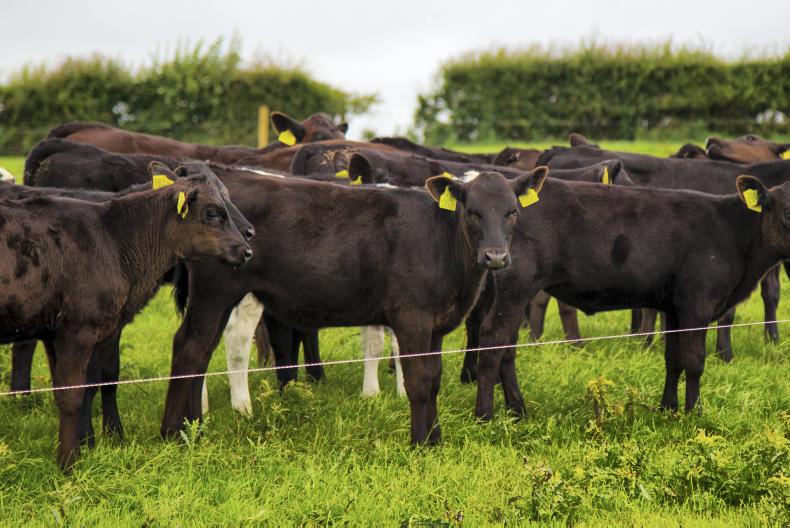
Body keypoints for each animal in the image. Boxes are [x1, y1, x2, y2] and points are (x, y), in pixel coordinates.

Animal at [0, 170, 252, 469]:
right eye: (213, 213)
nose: (247, 248)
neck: (115, 239)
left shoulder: (67, 331)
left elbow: (92, 381)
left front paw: (97, 441)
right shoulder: (78, 330)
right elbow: (74, 393)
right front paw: (69, 462)